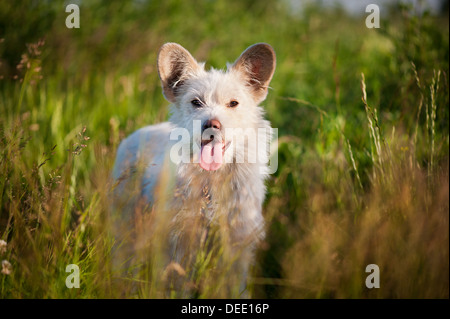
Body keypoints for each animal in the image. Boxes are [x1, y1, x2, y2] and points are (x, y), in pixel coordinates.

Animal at [111, 42, 276, 298]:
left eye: (233, 103)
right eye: (196, 102)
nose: (212, 125)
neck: (211, 183)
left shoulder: (237, 246)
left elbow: (235, 287)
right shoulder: (180, 244)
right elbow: (178, 286)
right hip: (126, 224)